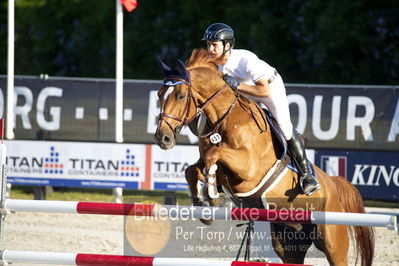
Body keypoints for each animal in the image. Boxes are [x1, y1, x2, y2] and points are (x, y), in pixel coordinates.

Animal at [154, 48, 376, 264]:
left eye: (181, 96)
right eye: (159, 94)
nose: (162, 138)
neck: (225, 118)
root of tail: (333, 183)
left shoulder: (249, 170)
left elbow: (213, 155)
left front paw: (212, 197)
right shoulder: (217, 166)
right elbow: (193, 169)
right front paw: (202, 205)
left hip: (332, 242)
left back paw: (309, 181)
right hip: (289, 241)